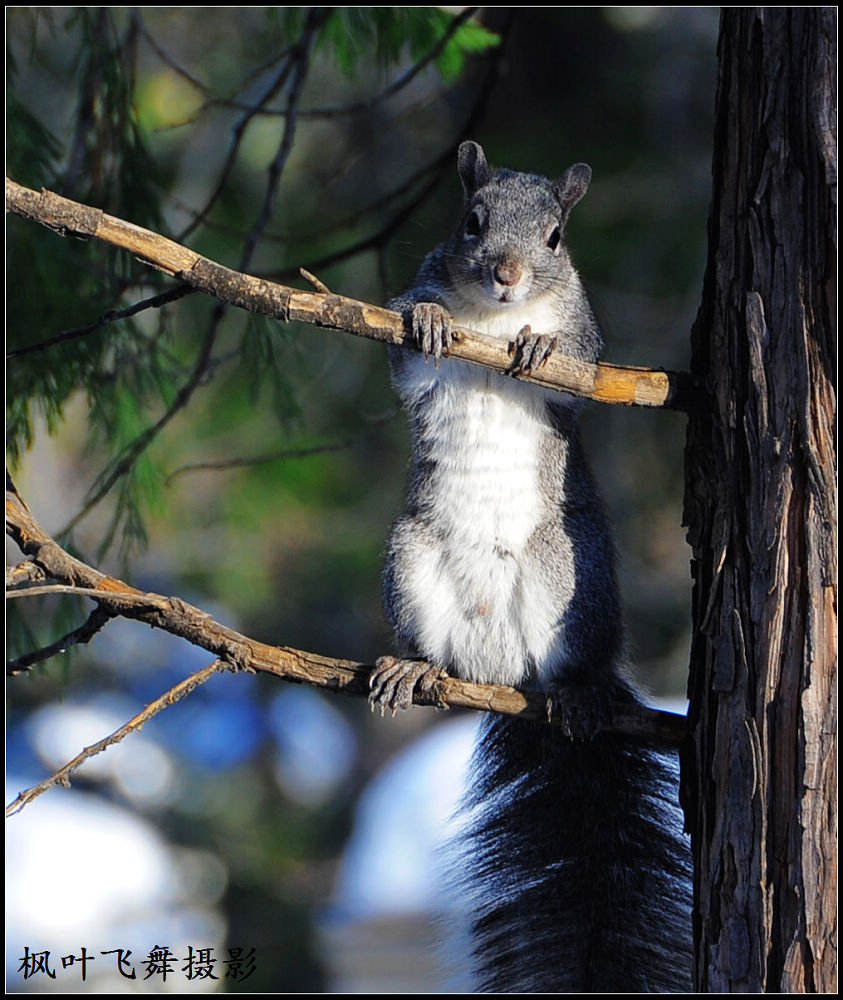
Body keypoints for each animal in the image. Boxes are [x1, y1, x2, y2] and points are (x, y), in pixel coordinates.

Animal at [370, 141, 692, 992]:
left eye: (555, 237)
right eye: (470, 221)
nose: (507, 273)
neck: (493, 320)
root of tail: (502, 675)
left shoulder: (585, 358)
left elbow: (581, 373)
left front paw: (542, 346)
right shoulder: (419, 358)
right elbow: (409, 358)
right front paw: (429, 318)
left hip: (565, 575)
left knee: (576, 661)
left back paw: (580, 694)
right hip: (411, 557)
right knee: (434, 647)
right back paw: (411, 668)